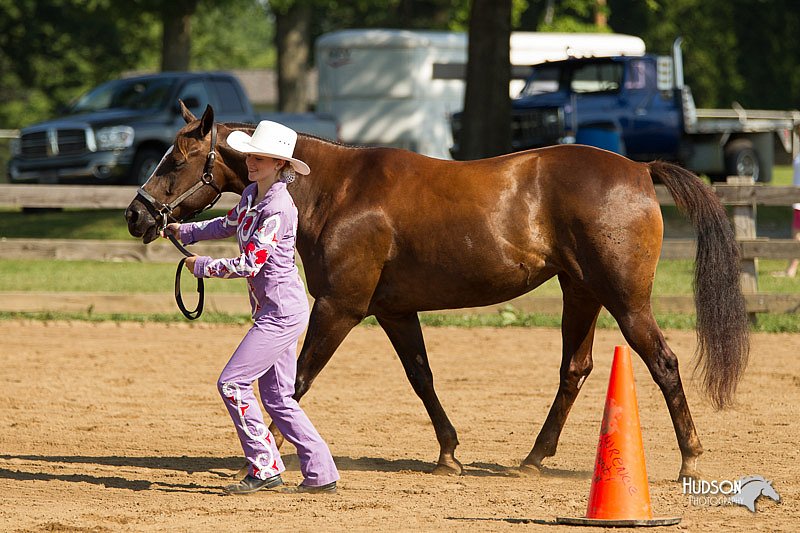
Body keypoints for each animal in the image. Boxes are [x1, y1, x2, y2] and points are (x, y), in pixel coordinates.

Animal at [125, 102, 752, 480]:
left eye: (175, 159)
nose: (137, 215)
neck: (338, 190)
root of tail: (640, 170)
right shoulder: (396, 312)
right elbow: (421, 377)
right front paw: (449, 453)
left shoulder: (339, 308)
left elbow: (298, 380)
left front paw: (268, 453)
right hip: (581, 293)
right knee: (575, 369)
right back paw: (533, 457)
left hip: (625, 300)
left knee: (664, 363)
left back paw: (691, 460)